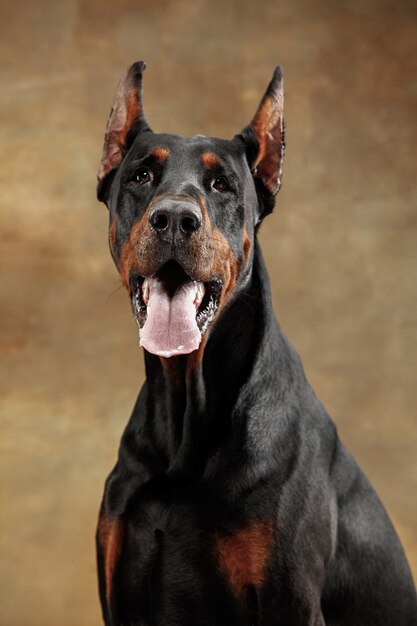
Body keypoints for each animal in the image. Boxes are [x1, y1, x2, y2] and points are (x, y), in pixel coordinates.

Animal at [95, 62, 416, 624]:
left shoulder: (289, 600)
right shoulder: (118, 592)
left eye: (222, 184)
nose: (174, 219)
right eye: (141, 176)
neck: (185, 421)